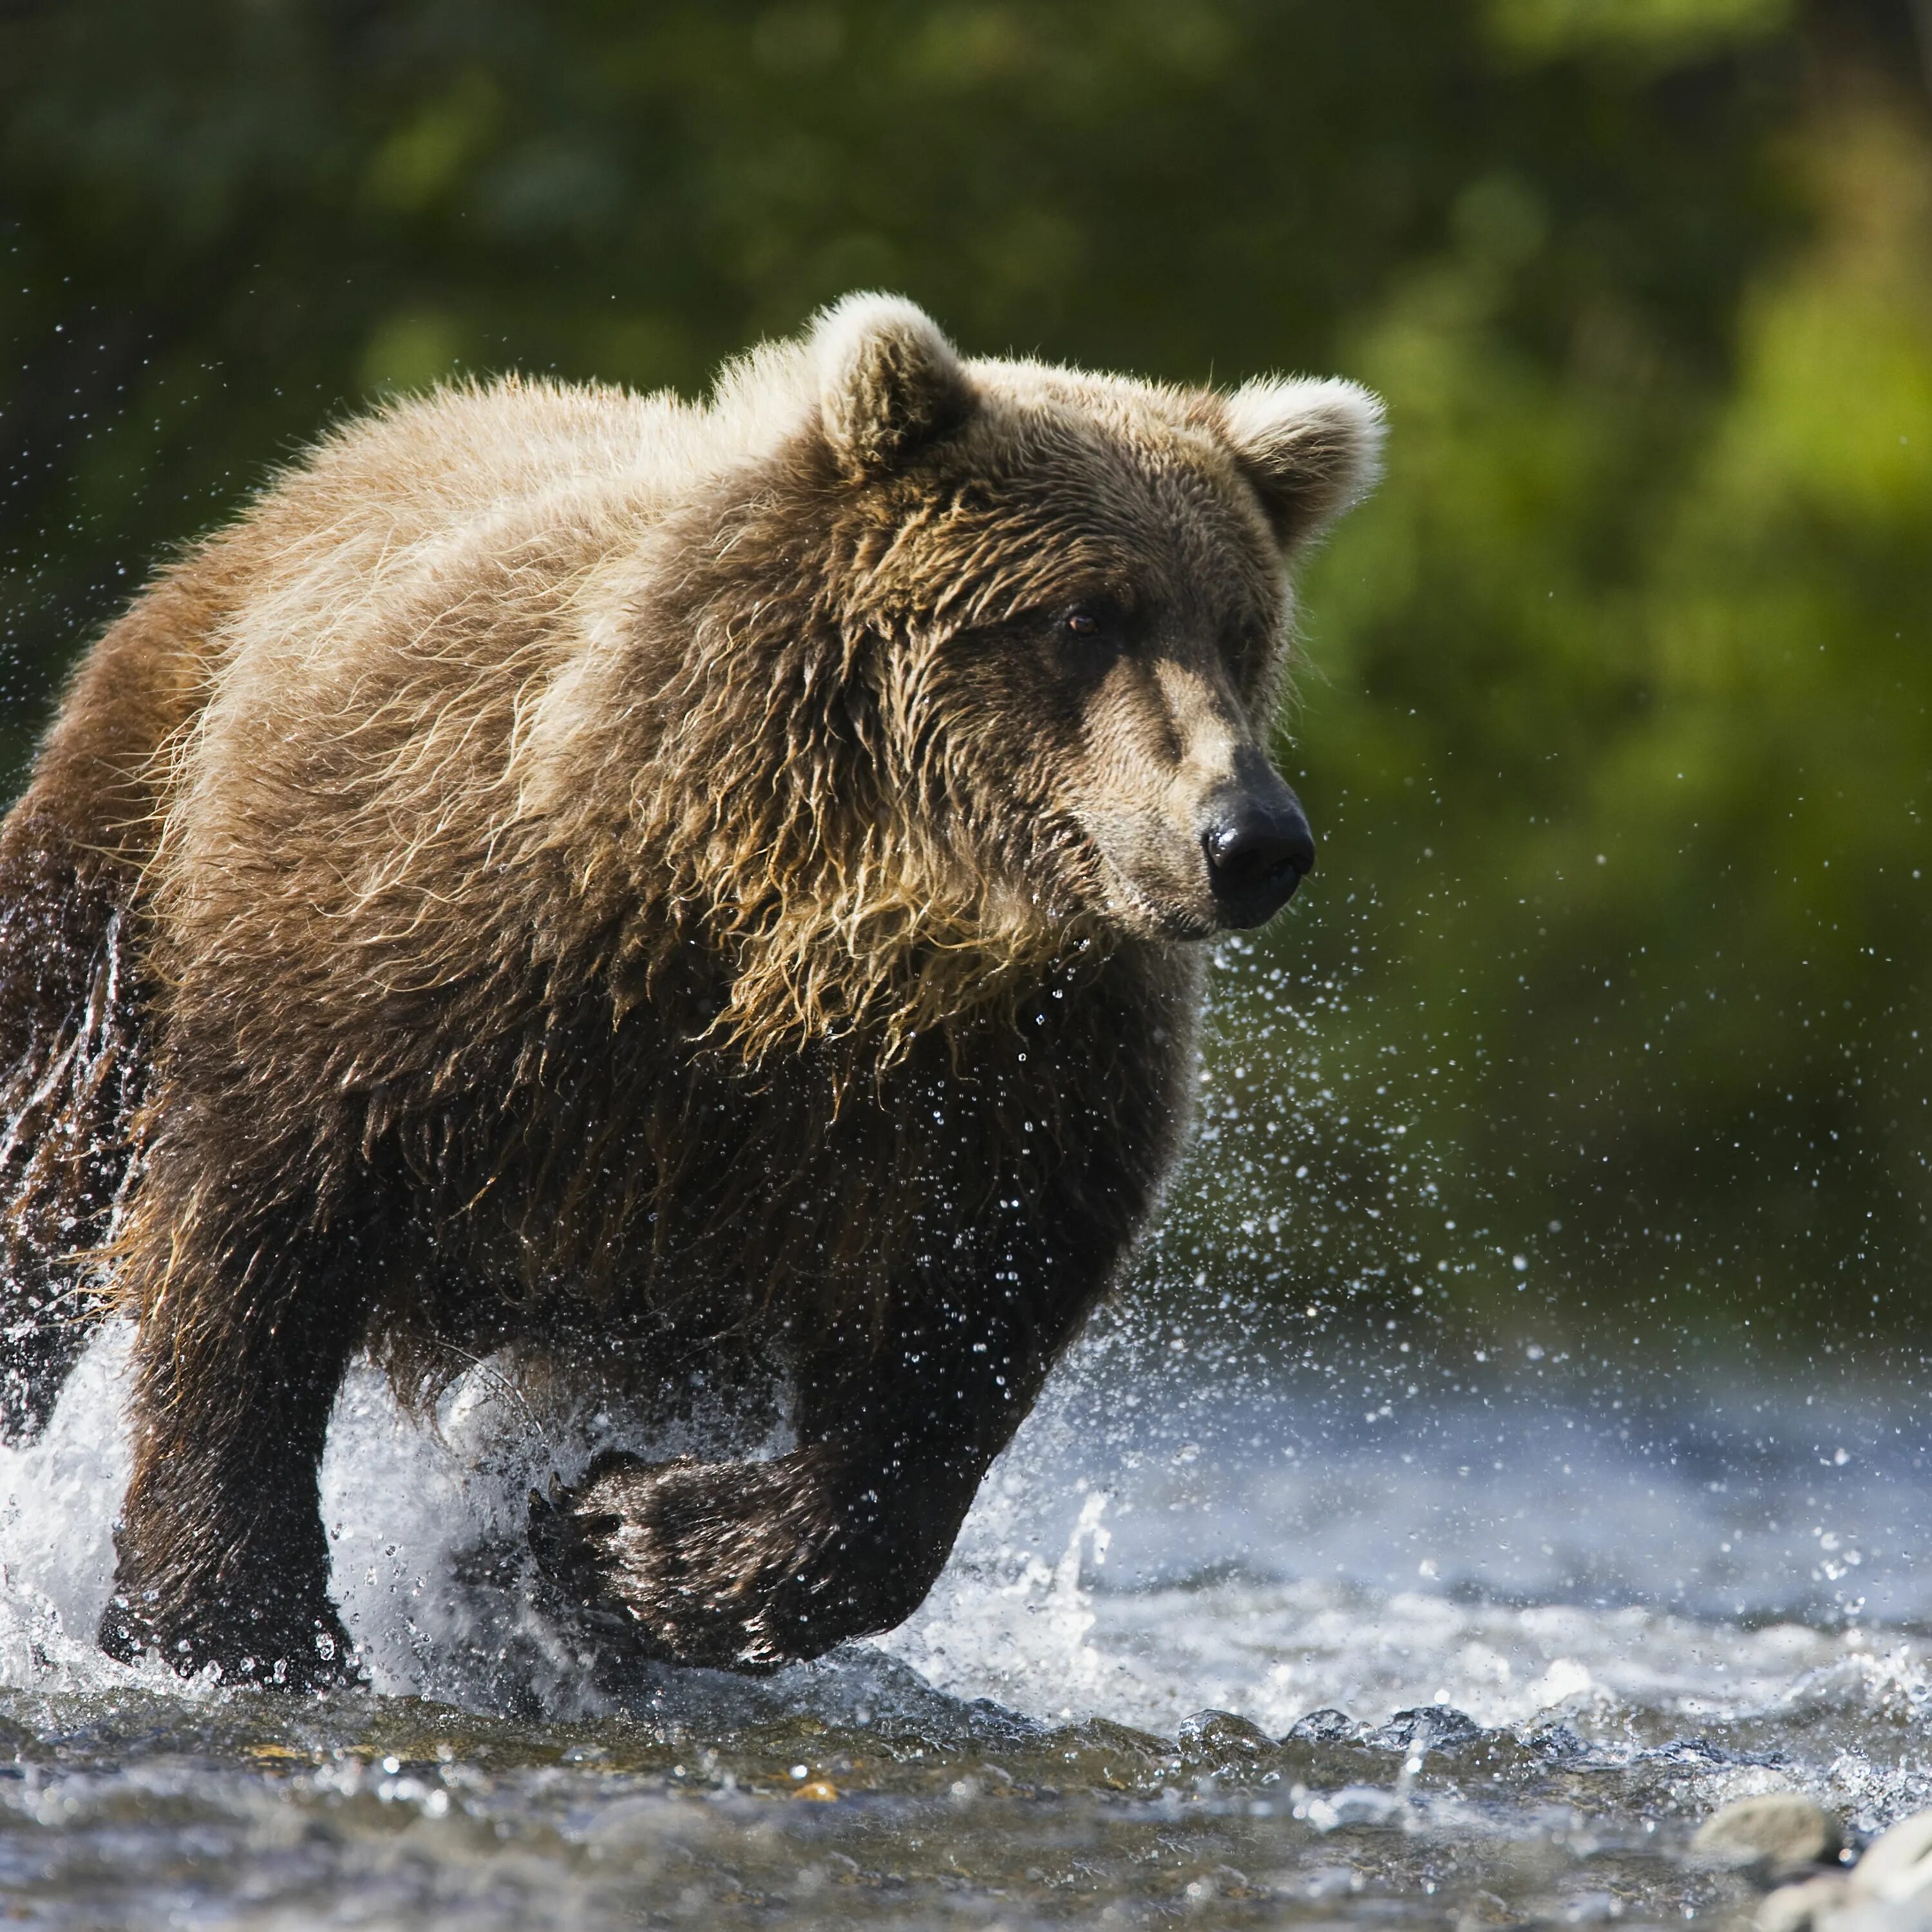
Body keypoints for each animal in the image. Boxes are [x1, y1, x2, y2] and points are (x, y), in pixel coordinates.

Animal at [0, 294, 1391, 1685]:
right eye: (1085, 616)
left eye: (1241, 630)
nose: (1252, 839)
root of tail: (346, 451)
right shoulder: (424, 949)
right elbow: (254, 1241)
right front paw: (232, 1621)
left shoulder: (1007, 1079)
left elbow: (958, 1346)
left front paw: (639, 1541)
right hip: (137, 828)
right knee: (51, 1128)